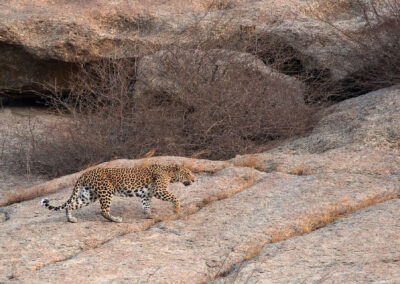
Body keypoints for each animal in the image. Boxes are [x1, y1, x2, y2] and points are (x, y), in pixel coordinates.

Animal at [41, 163, 195, 223]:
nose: (194, 180)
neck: (169, 172)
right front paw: (176, 208)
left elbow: (146, 205)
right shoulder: (159, 191)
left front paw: (149, 215)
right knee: (103, 210)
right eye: (187, 173)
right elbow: (175, 197)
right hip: (105, 191)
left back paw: (71, 219)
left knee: (70, 205)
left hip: (88, 195)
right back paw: (115, 219)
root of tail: (84, 173)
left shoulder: (147, 194)